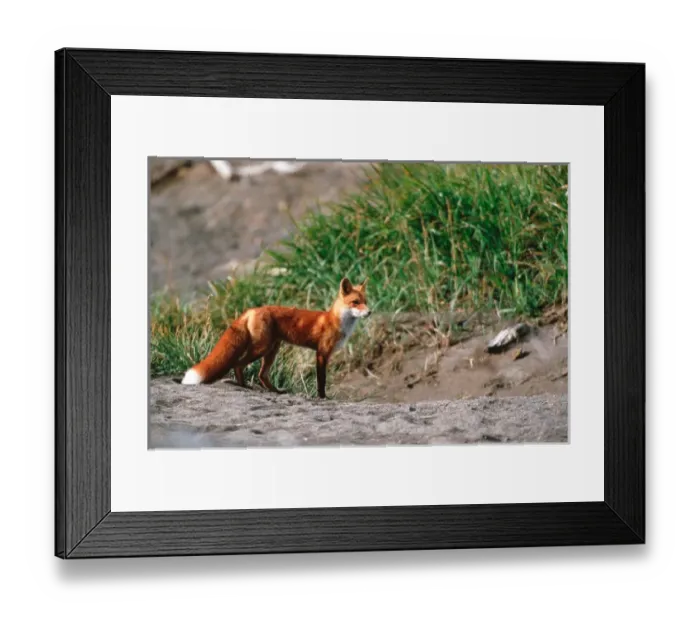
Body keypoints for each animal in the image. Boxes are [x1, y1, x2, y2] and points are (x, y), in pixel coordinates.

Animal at [181, 277, 371, 398]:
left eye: (366, 301)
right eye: (355, 302)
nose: (370, 312)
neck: (336, 321)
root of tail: (253, 309)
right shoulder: (322, 353)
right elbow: (321, 380)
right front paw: (323, 398)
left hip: (272, 350)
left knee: (261, 375)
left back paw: (275, 391)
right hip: (261, 348)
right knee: (238, 364)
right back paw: (244, 386)